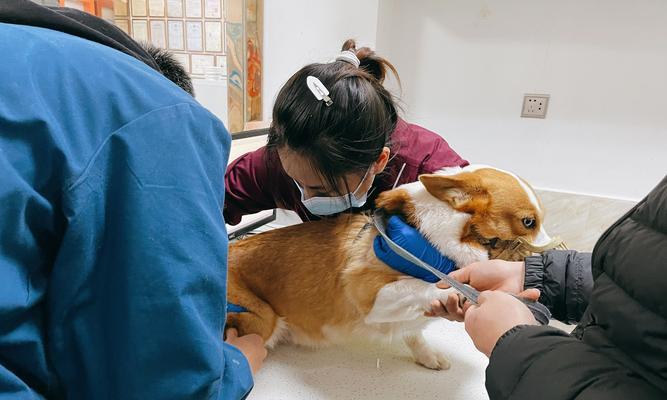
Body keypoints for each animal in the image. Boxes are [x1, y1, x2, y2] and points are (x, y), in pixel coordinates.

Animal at [227, 165, 556, 368]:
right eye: (529, 222)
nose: (552, 248)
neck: (432, 239)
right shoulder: (371, 294)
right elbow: (427, 287)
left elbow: (415, 334)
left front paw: (428, 357)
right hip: (262, 318)